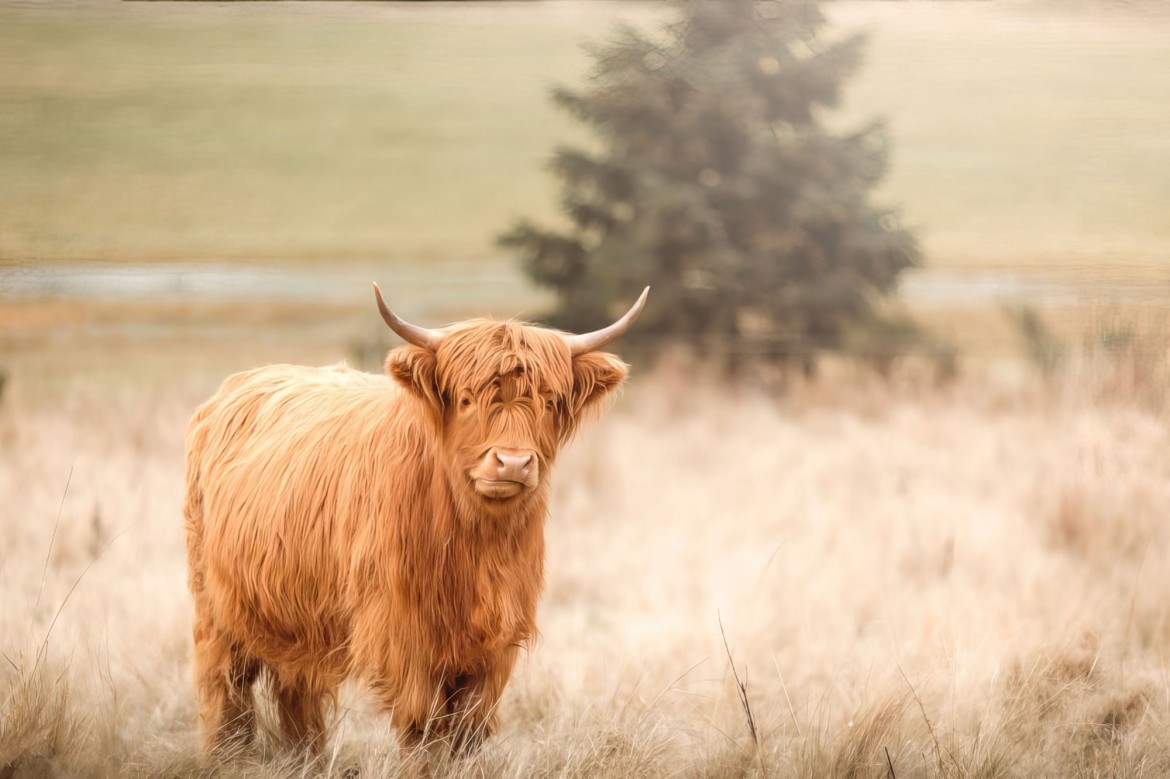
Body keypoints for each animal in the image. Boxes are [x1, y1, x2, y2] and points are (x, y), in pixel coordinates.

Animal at [180, 284, 650, 753]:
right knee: (226, 691)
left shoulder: (496, 643)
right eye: (466, 399)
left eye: (549, 402)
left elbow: (468, 729)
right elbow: (422, 729)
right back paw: (227, 756)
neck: (476, 546)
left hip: (297, 621)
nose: (513, 463)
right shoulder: (405, 638)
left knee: (297, 694)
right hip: (217, 611)